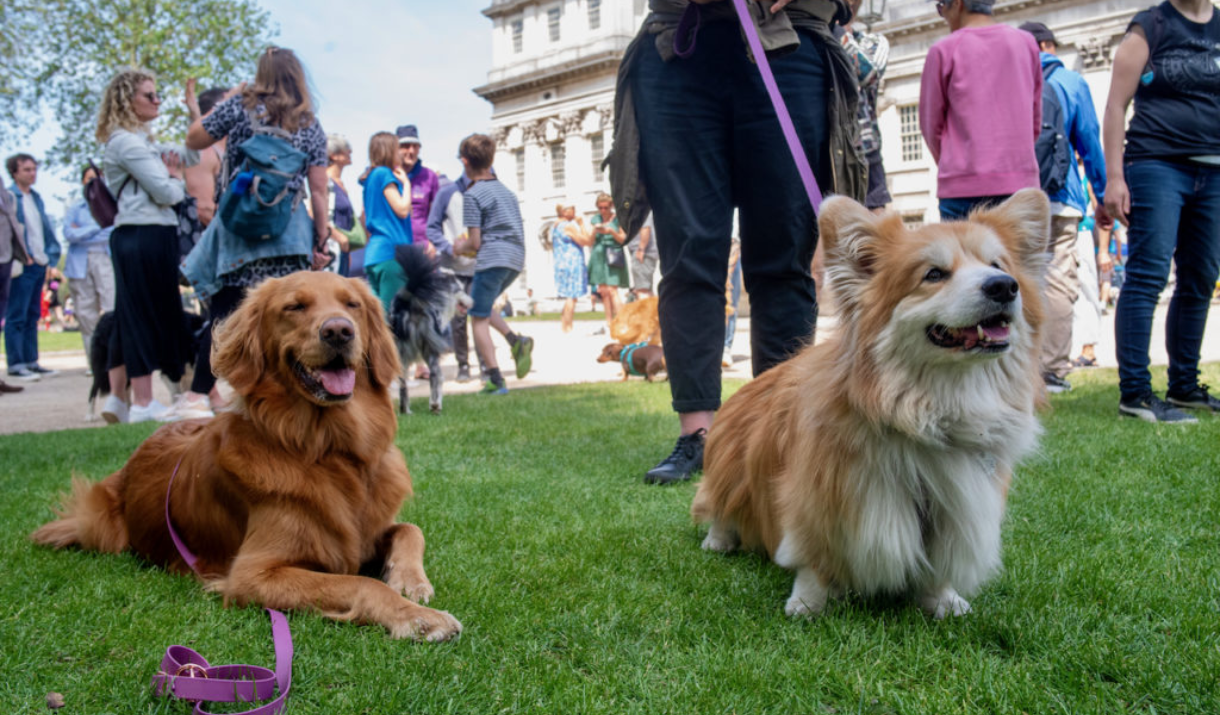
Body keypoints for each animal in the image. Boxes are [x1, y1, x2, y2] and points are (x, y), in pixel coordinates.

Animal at [34, 270, 461, 639]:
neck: (329, 450)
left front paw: (410, 582)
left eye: (352, 304)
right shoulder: (253, 573)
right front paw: (417, 617)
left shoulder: (369, 528)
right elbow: (360, 583)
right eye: (295, 306)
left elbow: (410, 530)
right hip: (100, 523)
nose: (339, 330)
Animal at [390, 244, 470, 414]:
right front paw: (436, 403)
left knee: (402, 381)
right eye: (460, 289)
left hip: (400, 352)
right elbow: (439, 378)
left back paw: (405, 410)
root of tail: (411, 300)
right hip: (429, 348)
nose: (471, 300)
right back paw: (435, 405)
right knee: (435, 375)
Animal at [692, 189, 1044, 617]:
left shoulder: (957, 506)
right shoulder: (826, 497)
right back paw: (719, 540)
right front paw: (807, 604)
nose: (1004, 286)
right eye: (934, 274)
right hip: (730, 470)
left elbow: (938, 562)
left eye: (998, 265)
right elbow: (815, 559)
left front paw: (942, 600)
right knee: (719, 504)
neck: (935, 406)